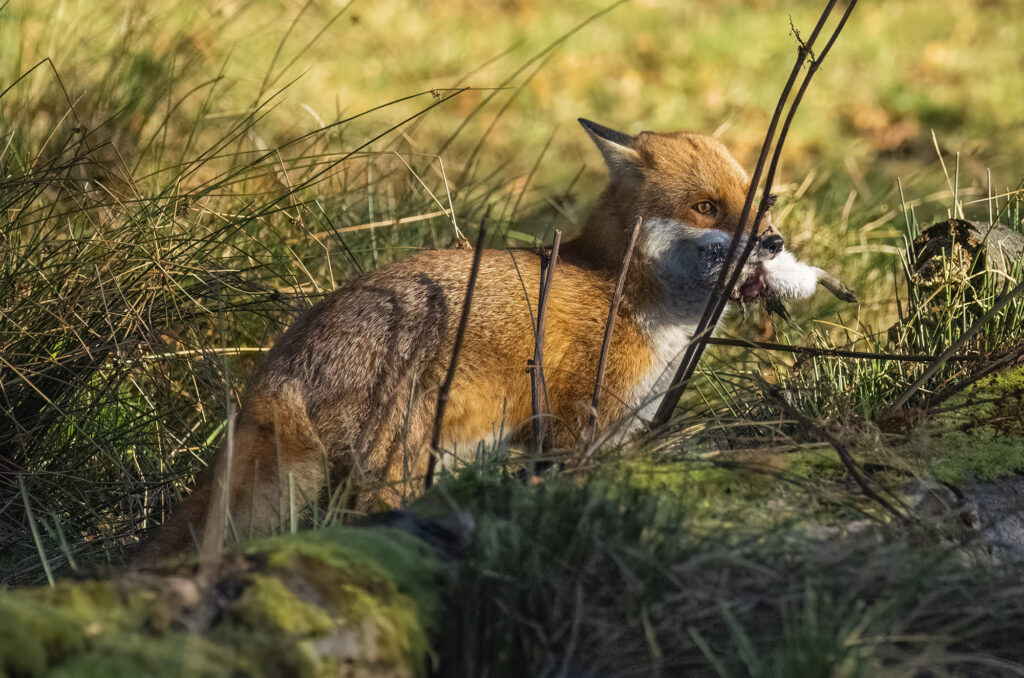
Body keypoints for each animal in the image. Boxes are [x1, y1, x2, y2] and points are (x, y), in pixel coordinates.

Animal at [142, 119, 847, 561]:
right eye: (707, 207)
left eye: (764, 201)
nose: (775, 243)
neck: (623, 294)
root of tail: (285, 359)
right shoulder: (575, 424)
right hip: (401, 469)